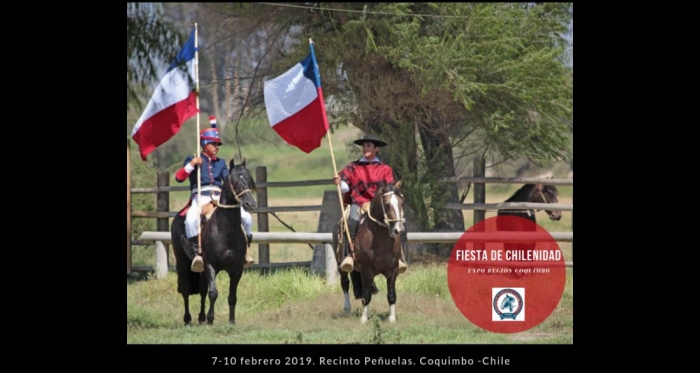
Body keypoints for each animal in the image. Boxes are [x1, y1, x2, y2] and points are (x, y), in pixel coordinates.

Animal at [170, 158, 258, 324]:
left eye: (249, 180)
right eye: (235, 181)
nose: (251, 204)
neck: (226, 229)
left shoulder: (236, 268)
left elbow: (232, 297)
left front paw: (231, 322)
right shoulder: (210, 265)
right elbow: (213, 293)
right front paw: (211, 320)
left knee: (202, 289)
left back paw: (201, 317)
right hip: (182, 261)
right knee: (186, 289)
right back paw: (188, 319)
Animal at [334, 180, 404, 322]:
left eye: (400, 203)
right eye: (387, 204)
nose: (397, 230)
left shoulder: (393, 270)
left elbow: (391, 294)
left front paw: (391, 318)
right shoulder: (367, 269)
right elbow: (366, 295)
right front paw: (364, 319)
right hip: (341, 264)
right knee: (345, 283)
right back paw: (347, 308)